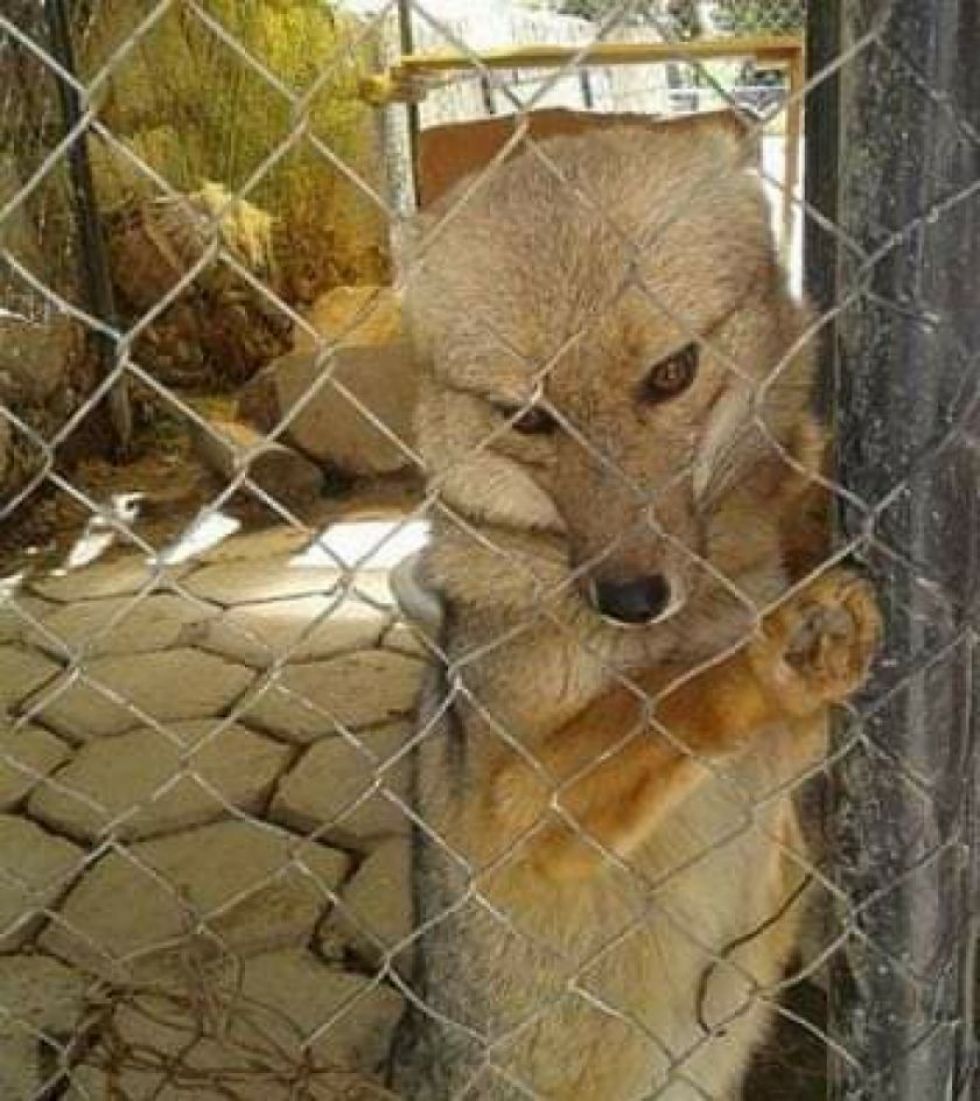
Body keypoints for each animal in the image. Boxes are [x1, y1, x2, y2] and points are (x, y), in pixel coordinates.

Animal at [385, 113, 879, 1100]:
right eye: (528, 418)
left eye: (671, 373)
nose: (627, 599)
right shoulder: (520, 808)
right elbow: (673, 698)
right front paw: (764, 660)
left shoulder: (801, 753)